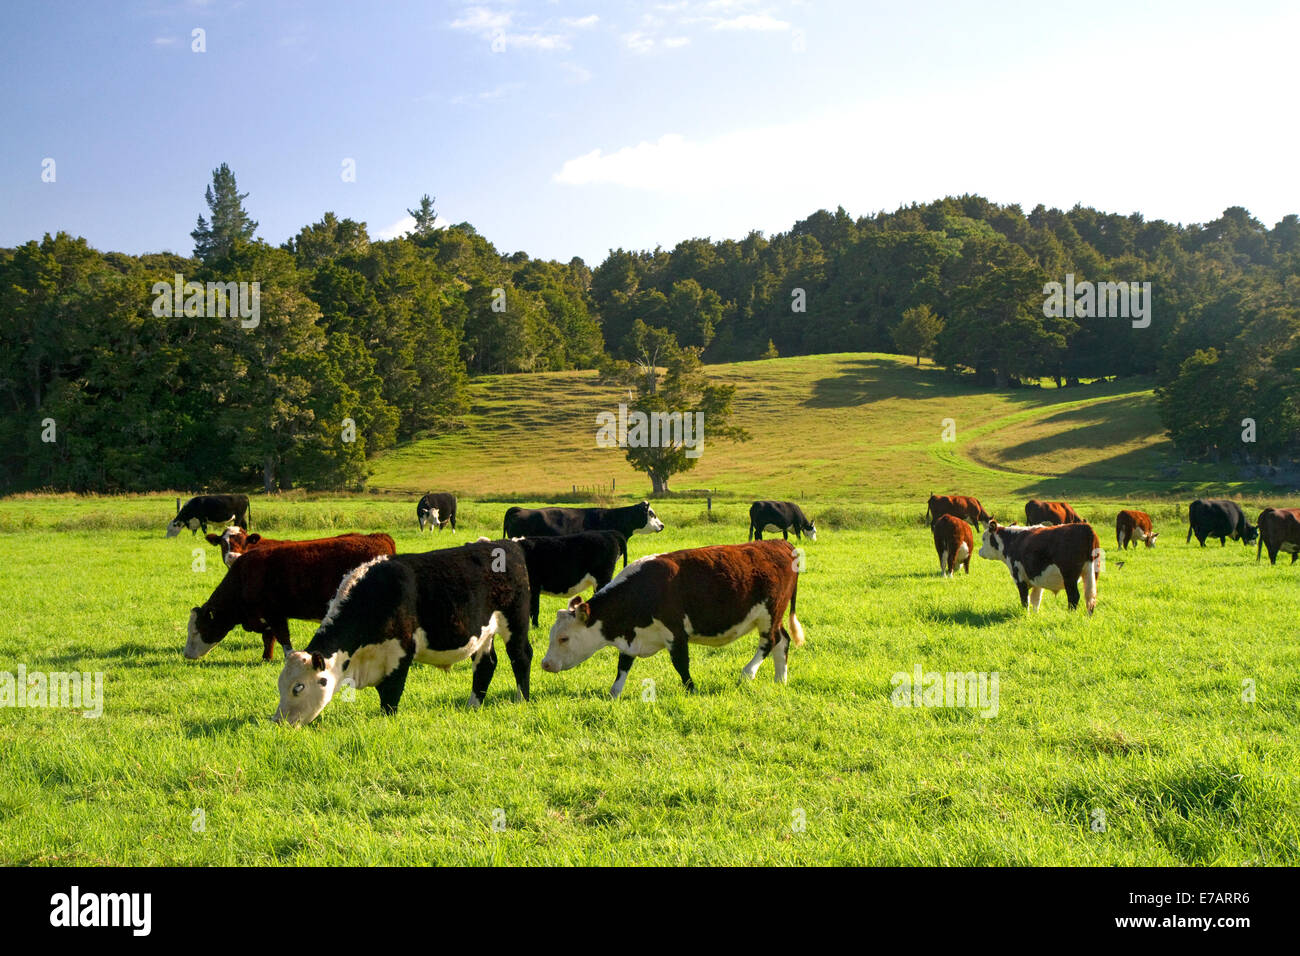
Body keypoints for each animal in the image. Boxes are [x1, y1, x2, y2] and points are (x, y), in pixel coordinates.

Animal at [182, 535, 395, 660]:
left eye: (197, 630)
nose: (186, 655)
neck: (244, 577)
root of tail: (378, 537)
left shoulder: (275, 614)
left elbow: (284, 639)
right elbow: (269, 638)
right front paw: (266, 658)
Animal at [274, 538, 533, 723]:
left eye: (298, 687)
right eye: (279, 685)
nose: (278, 721)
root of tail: (509, 544)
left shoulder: (399, 651)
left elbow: (391, 693)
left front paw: (387, 721)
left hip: (515, 622)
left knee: (521, 656)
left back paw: (522, 699)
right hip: (484, 633)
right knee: (486, 664)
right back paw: (473, 705)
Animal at [538, 541, 800, 697]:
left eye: (564, 638)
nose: (545, 664)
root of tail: (780, 544)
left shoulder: (676, 633)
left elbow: (681, 665)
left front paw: (692, 690)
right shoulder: (632, 636)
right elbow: (623, 665)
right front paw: (614, 693)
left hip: (770, 613)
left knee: (769, 642)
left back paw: (748, 673)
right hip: (773, 616)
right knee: (782, 641)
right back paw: (781, 680)